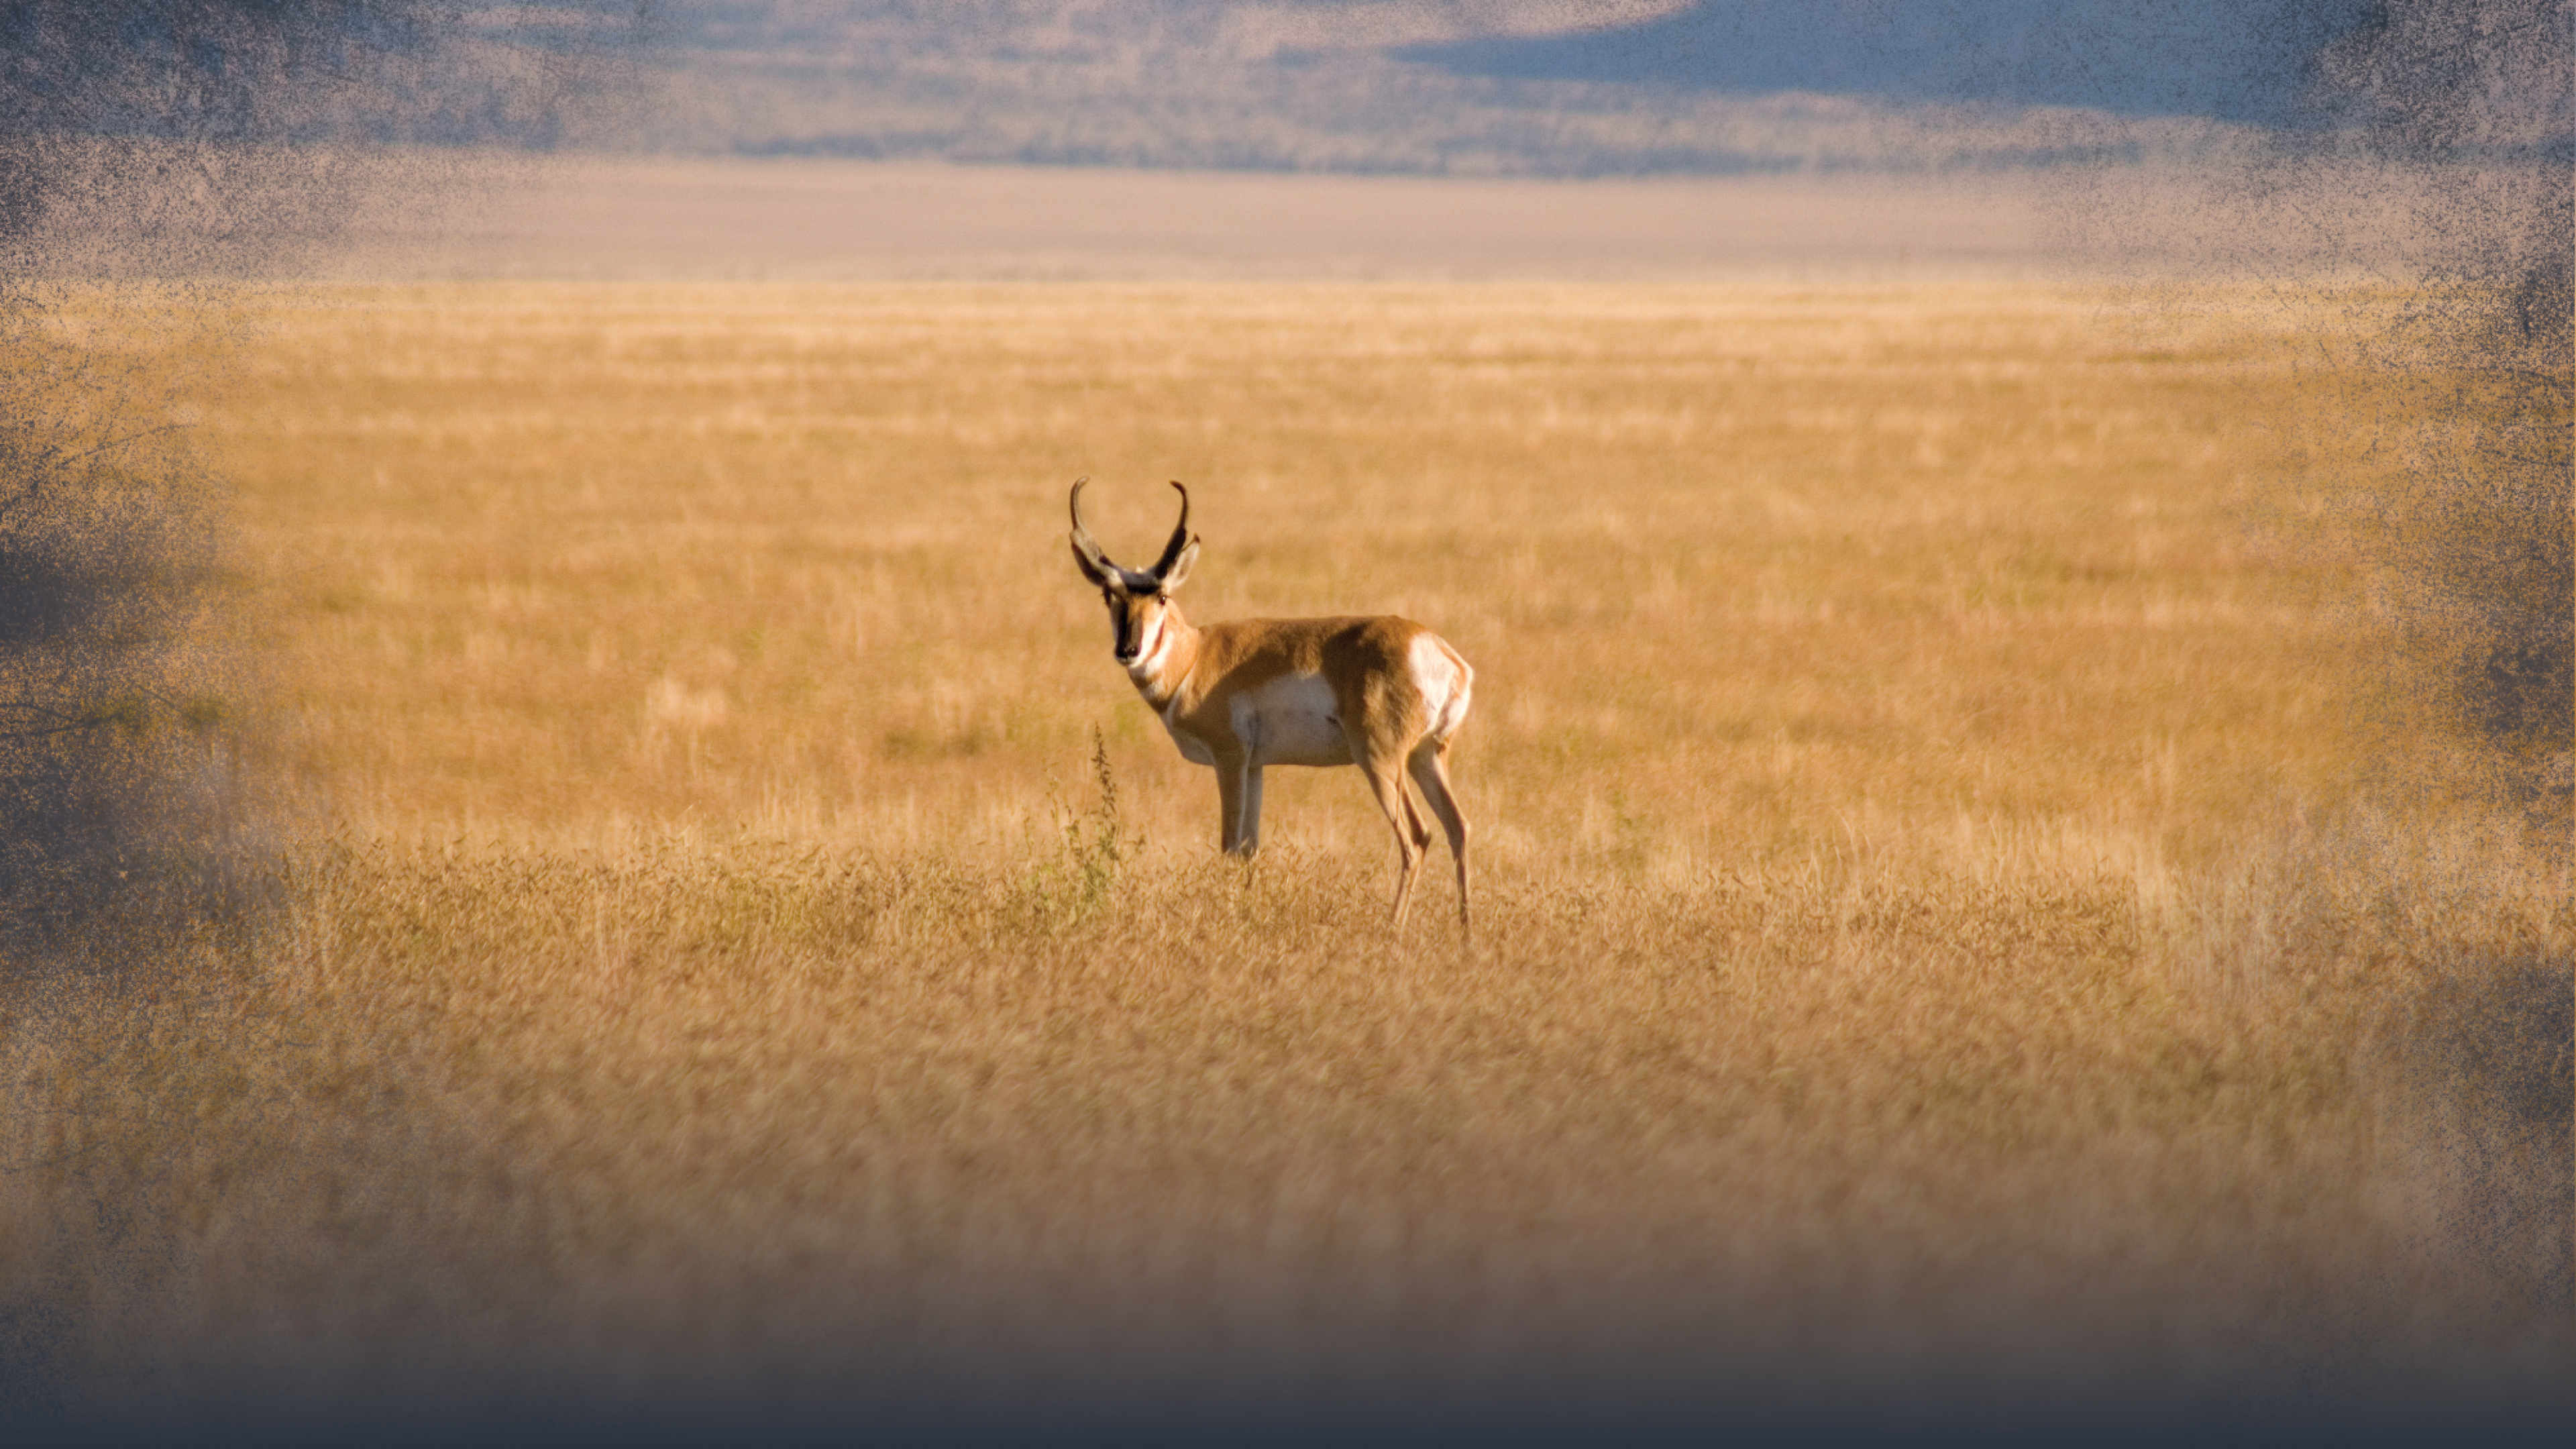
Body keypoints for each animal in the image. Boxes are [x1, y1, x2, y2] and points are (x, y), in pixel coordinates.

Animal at [1068, 479, 1473, 932]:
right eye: (1109, 596)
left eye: (1162, 596)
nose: (1128, 650)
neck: (1196, 656)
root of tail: (1435, 649)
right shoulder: (1255, 766)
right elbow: (1250, 848)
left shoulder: (1229, 760)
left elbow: (1229, 845)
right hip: (1426, 758)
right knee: (1457, 827)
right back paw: (1465, 934)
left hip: (1382, 762)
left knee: (1417, 837)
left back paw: (1392, 931)